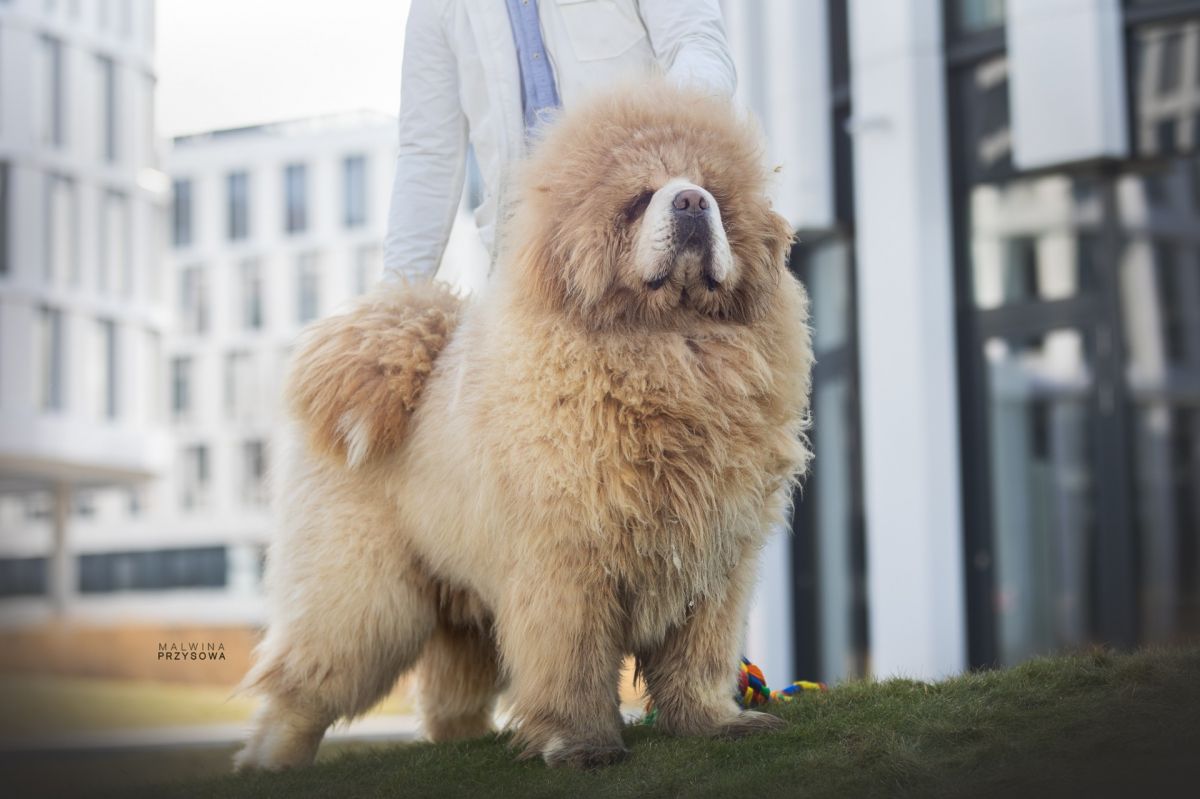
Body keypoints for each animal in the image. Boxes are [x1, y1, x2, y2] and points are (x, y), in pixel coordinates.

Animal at [234, 80, 813, 771]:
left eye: (714, 193)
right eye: (638, 199)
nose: (693, 202)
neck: (670, 345)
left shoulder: (714, 560)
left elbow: (699, 659)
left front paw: (714, 723)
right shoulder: (565, 564)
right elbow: (572, 665)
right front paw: (582, 745)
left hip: (459, 604)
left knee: (450, 690)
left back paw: (460, 742)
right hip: (360, 592)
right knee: (305, 681)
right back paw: (269, 760)